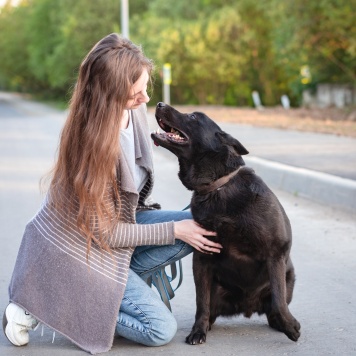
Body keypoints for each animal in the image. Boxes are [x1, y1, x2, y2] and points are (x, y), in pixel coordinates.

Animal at [150, 102, 300, 344]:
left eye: (194, 117)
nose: (159, 104)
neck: (217, 187)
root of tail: (248, 308)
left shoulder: (276, 253)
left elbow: (279, 301)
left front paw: (290, 326)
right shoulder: (202, 258)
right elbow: (201, 303)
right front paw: (198, 331)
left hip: (289, 276)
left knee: (274, 308)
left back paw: (279, 322)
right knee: (209, 308)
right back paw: (207, 325)